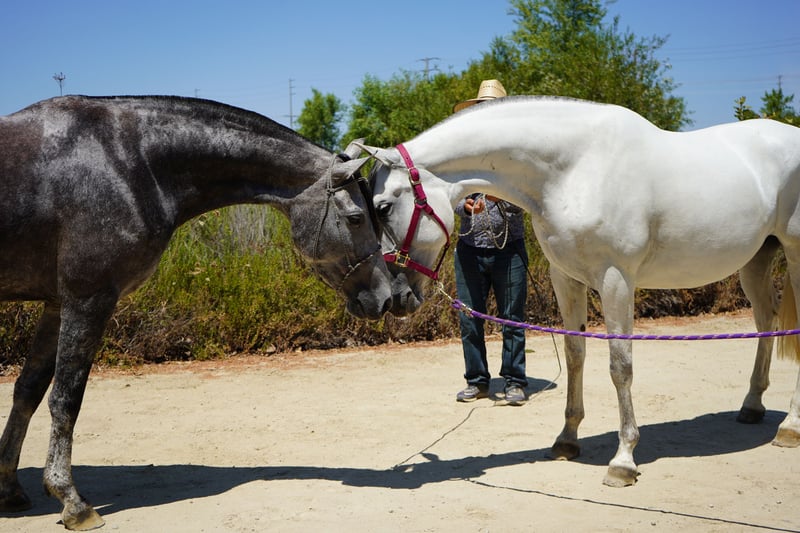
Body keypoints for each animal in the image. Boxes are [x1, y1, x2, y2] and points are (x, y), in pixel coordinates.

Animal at [0, 95, 399, 530]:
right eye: (356, 218)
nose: (386, 297)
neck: (128, 161)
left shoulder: (57, 304)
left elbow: (28, 391)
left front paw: (10, 489)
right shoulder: (87, 299)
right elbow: (66, 399)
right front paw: (71, 499)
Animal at [363, 95, 800, 488]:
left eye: (383, 207)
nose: (394, 297)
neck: (575, 169)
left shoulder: (616, 279)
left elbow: (620, 365)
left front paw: (623, 460)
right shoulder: (566, 278)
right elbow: (575, 354)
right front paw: (566, 440)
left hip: (794, 254)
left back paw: (790, 427)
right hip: (756, 261)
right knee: (766, 321)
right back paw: (752, 406)